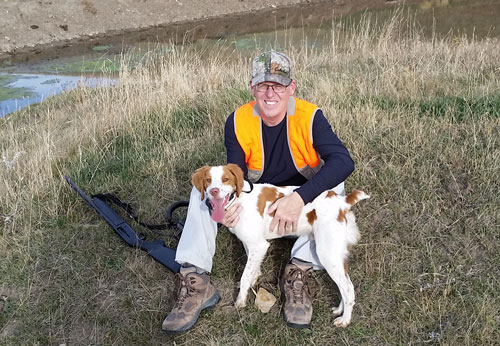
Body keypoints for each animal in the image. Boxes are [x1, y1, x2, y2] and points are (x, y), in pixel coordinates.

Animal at [193, 164, 370, 326]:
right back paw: (340, 310)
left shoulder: (259, 245)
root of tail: (342, 201)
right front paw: (254, 278)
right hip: (336, 253)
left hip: (327, 253)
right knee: (345, 285)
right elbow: (252, 270)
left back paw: (344, 320)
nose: (214, 191)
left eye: (226, 179)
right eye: (208, 180)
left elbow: (244, 276)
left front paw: (240, 302)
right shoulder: (250, 244)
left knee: (348, 288)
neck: (239, 200)